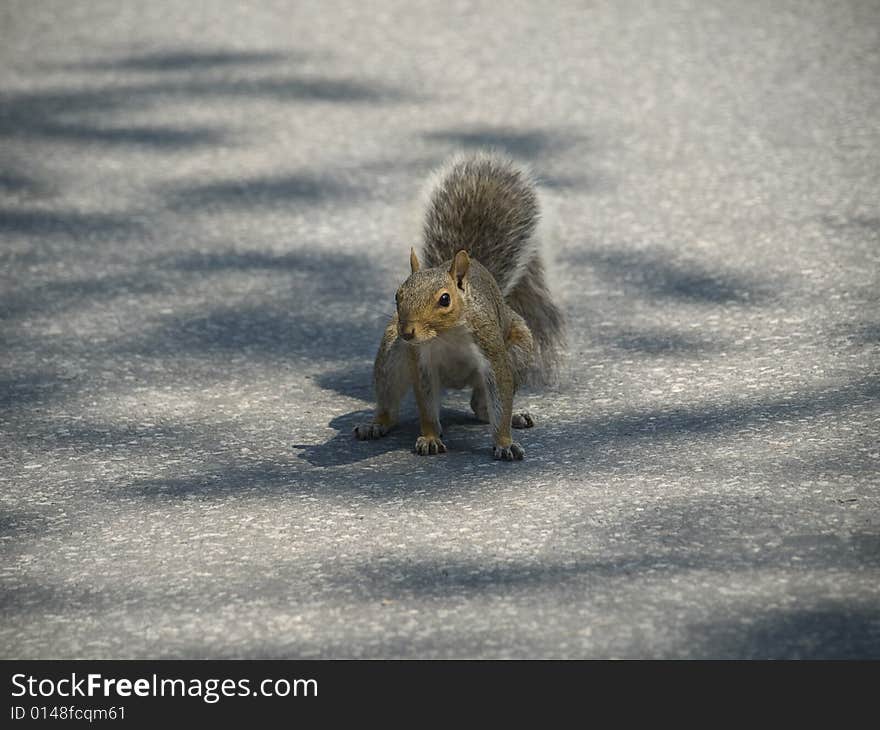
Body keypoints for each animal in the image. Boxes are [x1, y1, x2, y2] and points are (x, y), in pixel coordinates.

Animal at [354, 151, 568, 458]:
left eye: (445, 299)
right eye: (397, 295)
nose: (408, 332)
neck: (447, 335)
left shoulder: (492, 353)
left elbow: (500, 397)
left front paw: (505, 442)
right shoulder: (422, 362)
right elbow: (426, 406)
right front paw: (430, 437)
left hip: (518, 352)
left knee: (482, 407)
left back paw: (514, 416)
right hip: (391, 357)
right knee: (390, 404)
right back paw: (376, 424)